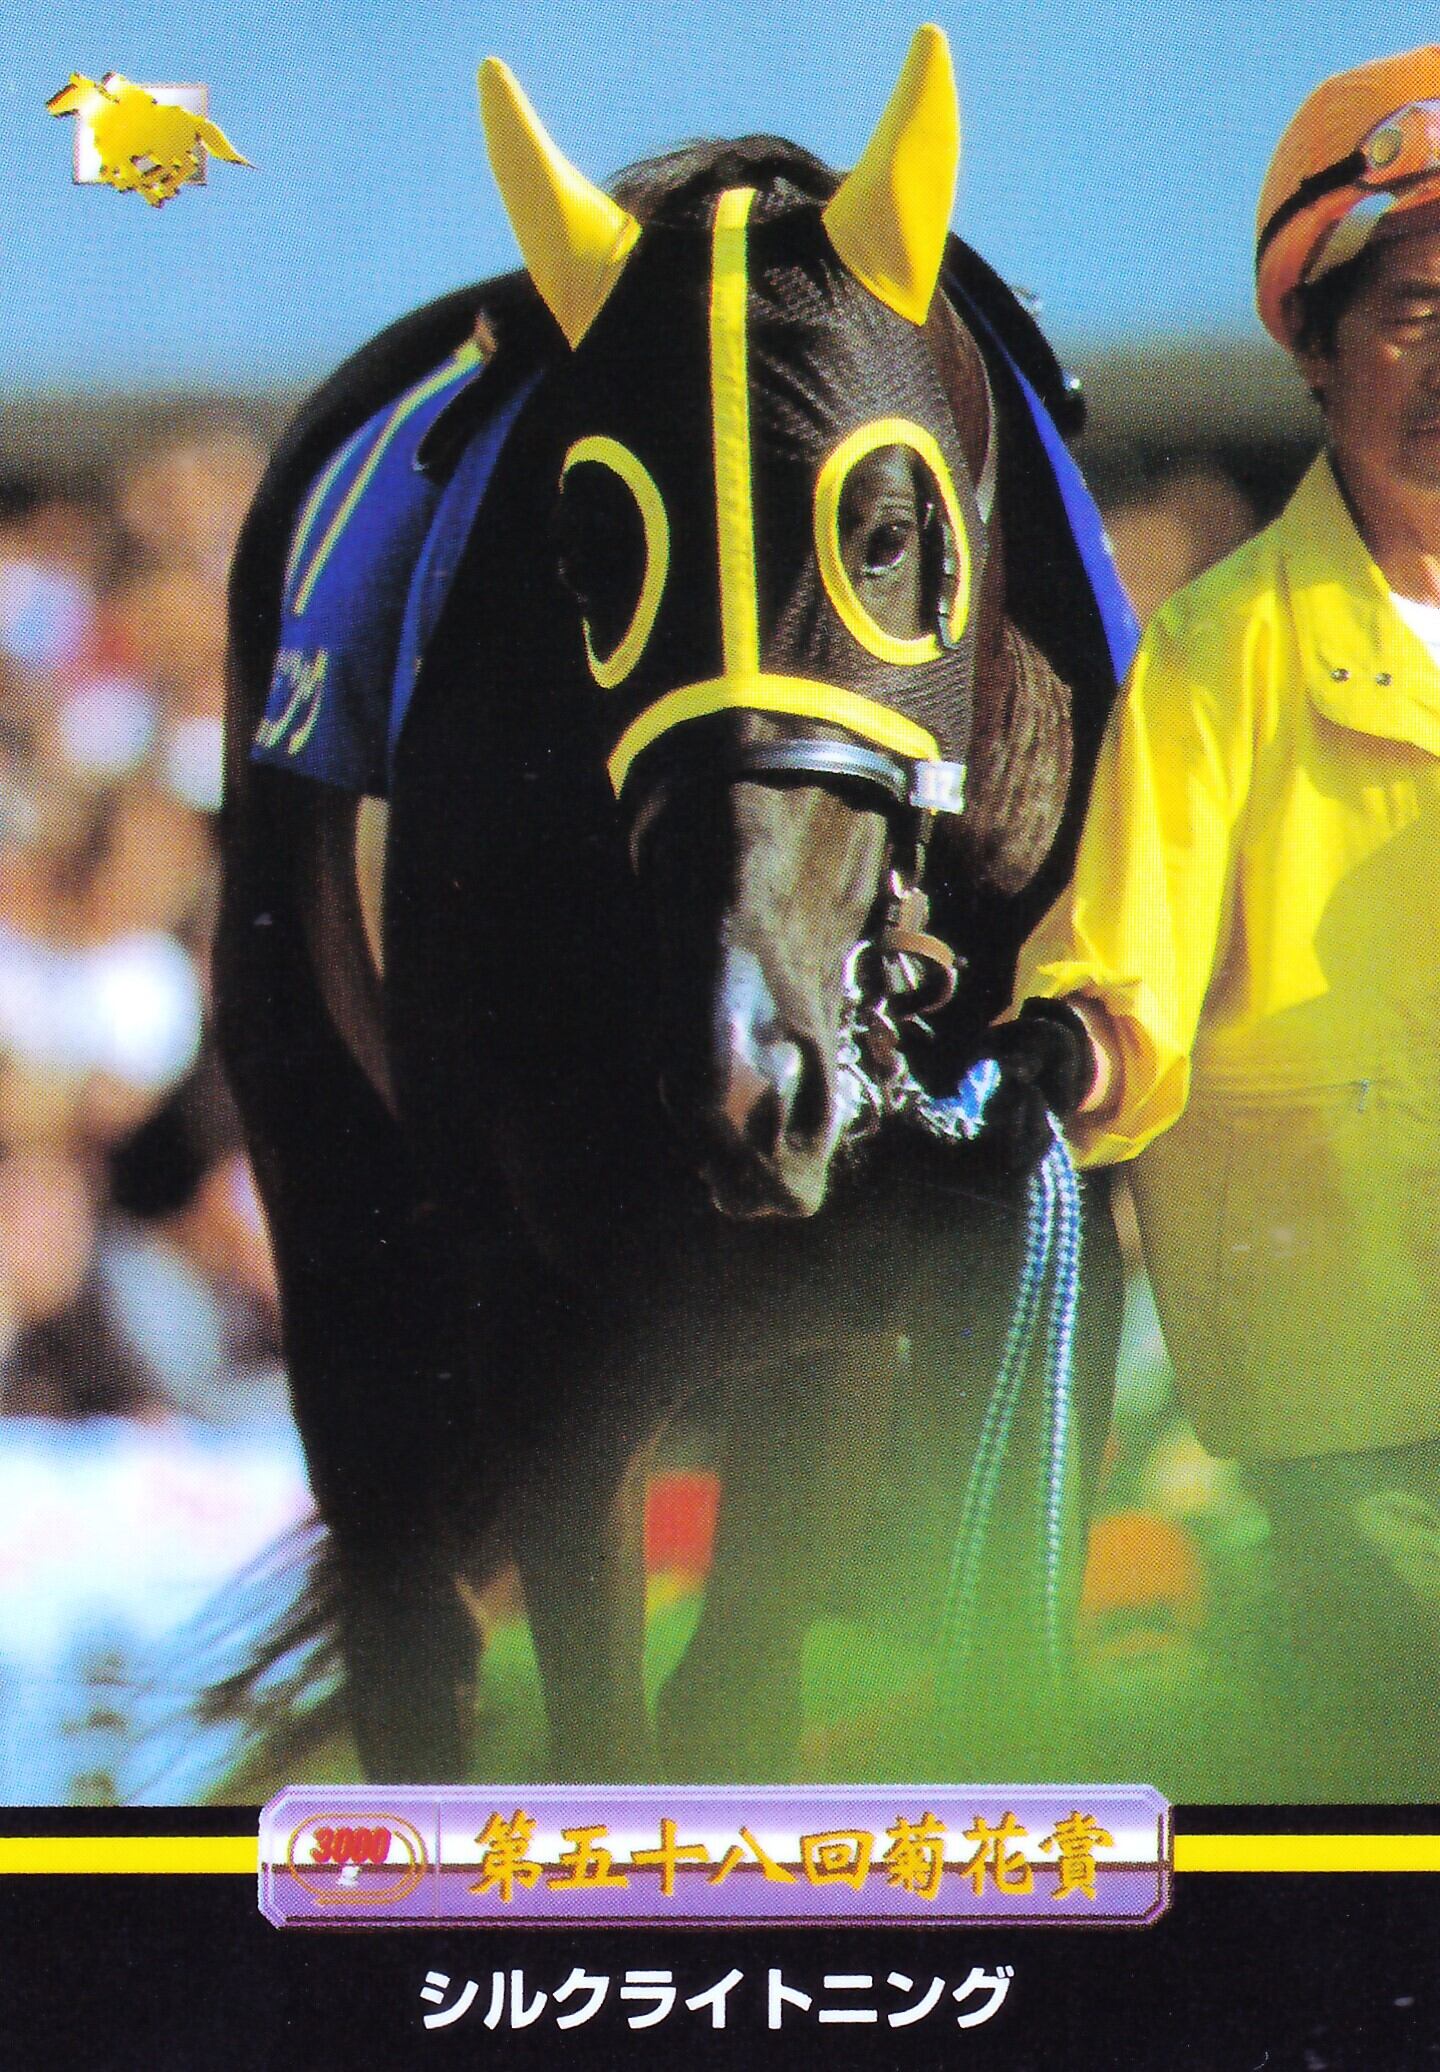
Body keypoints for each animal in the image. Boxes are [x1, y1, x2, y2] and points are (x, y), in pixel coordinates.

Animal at [216, 27, 1128, 1784]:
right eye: (589, 553)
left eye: (885, 532)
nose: (742, 1074)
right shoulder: (549, 1337)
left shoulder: (1003, 1283)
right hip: (352, 1251)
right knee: (418, 1641)